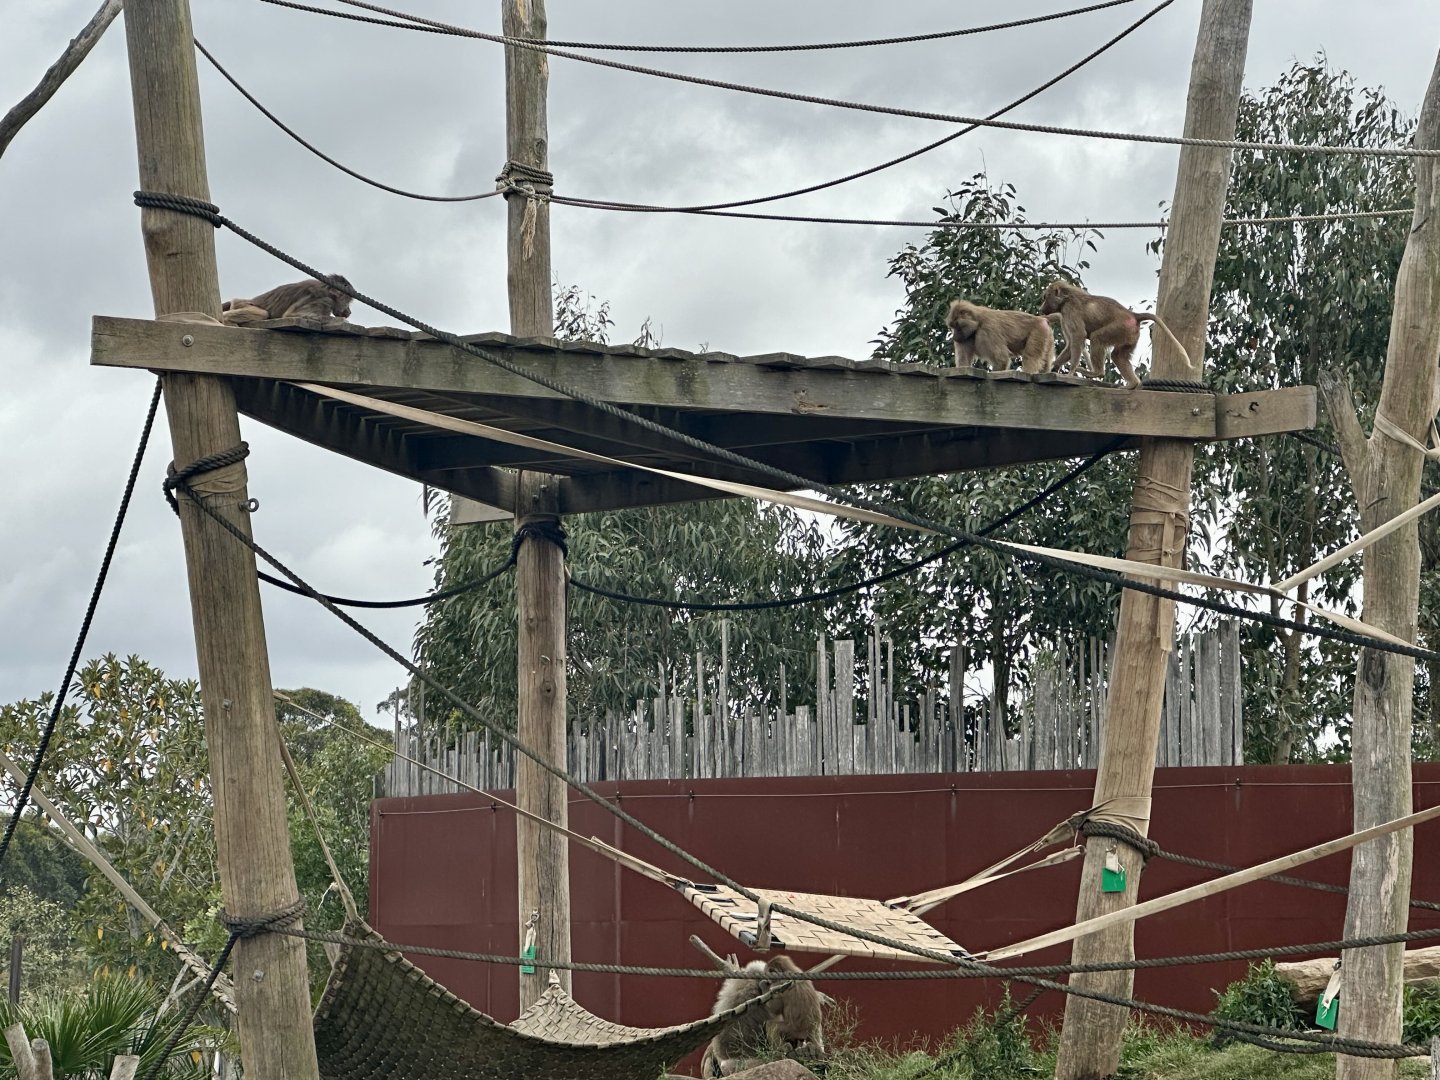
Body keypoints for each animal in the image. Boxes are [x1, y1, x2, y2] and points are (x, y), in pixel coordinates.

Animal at [221, 274, 355, 324]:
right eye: (348, 302)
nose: (349, 311)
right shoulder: (325, 301)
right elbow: (290, 315)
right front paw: (342, 320)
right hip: (241, 304)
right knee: (263, 313)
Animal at [1037, 280, 1197, 389]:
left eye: (1045, 297)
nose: (1041, 309)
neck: (1066, 298)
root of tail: (1133, 315)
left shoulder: (1070, 311)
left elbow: (1078, 337)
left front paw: (1070, 372)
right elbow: (1071, 343)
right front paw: (1055, 367)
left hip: (1120, 328)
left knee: (1097, 338)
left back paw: (1097, 373)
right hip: (1130, 335)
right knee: (1117, 355)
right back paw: (1132, 384)